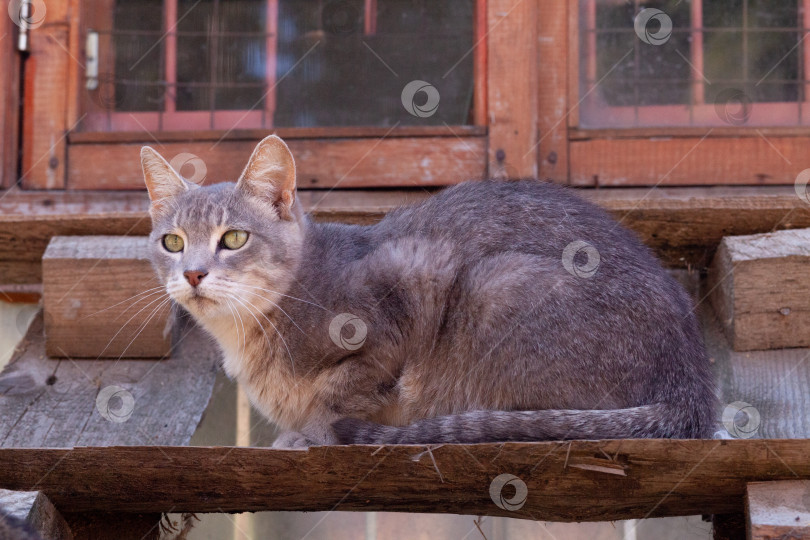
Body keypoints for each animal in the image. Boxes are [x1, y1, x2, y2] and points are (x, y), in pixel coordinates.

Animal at [140, 135, 712, 448]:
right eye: (173, 241)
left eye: (234, 238)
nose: (193, 273)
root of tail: (691, 379)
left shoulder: (410, 280)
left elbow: (342, 392)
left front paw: (313, 430)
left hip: (495, 285)